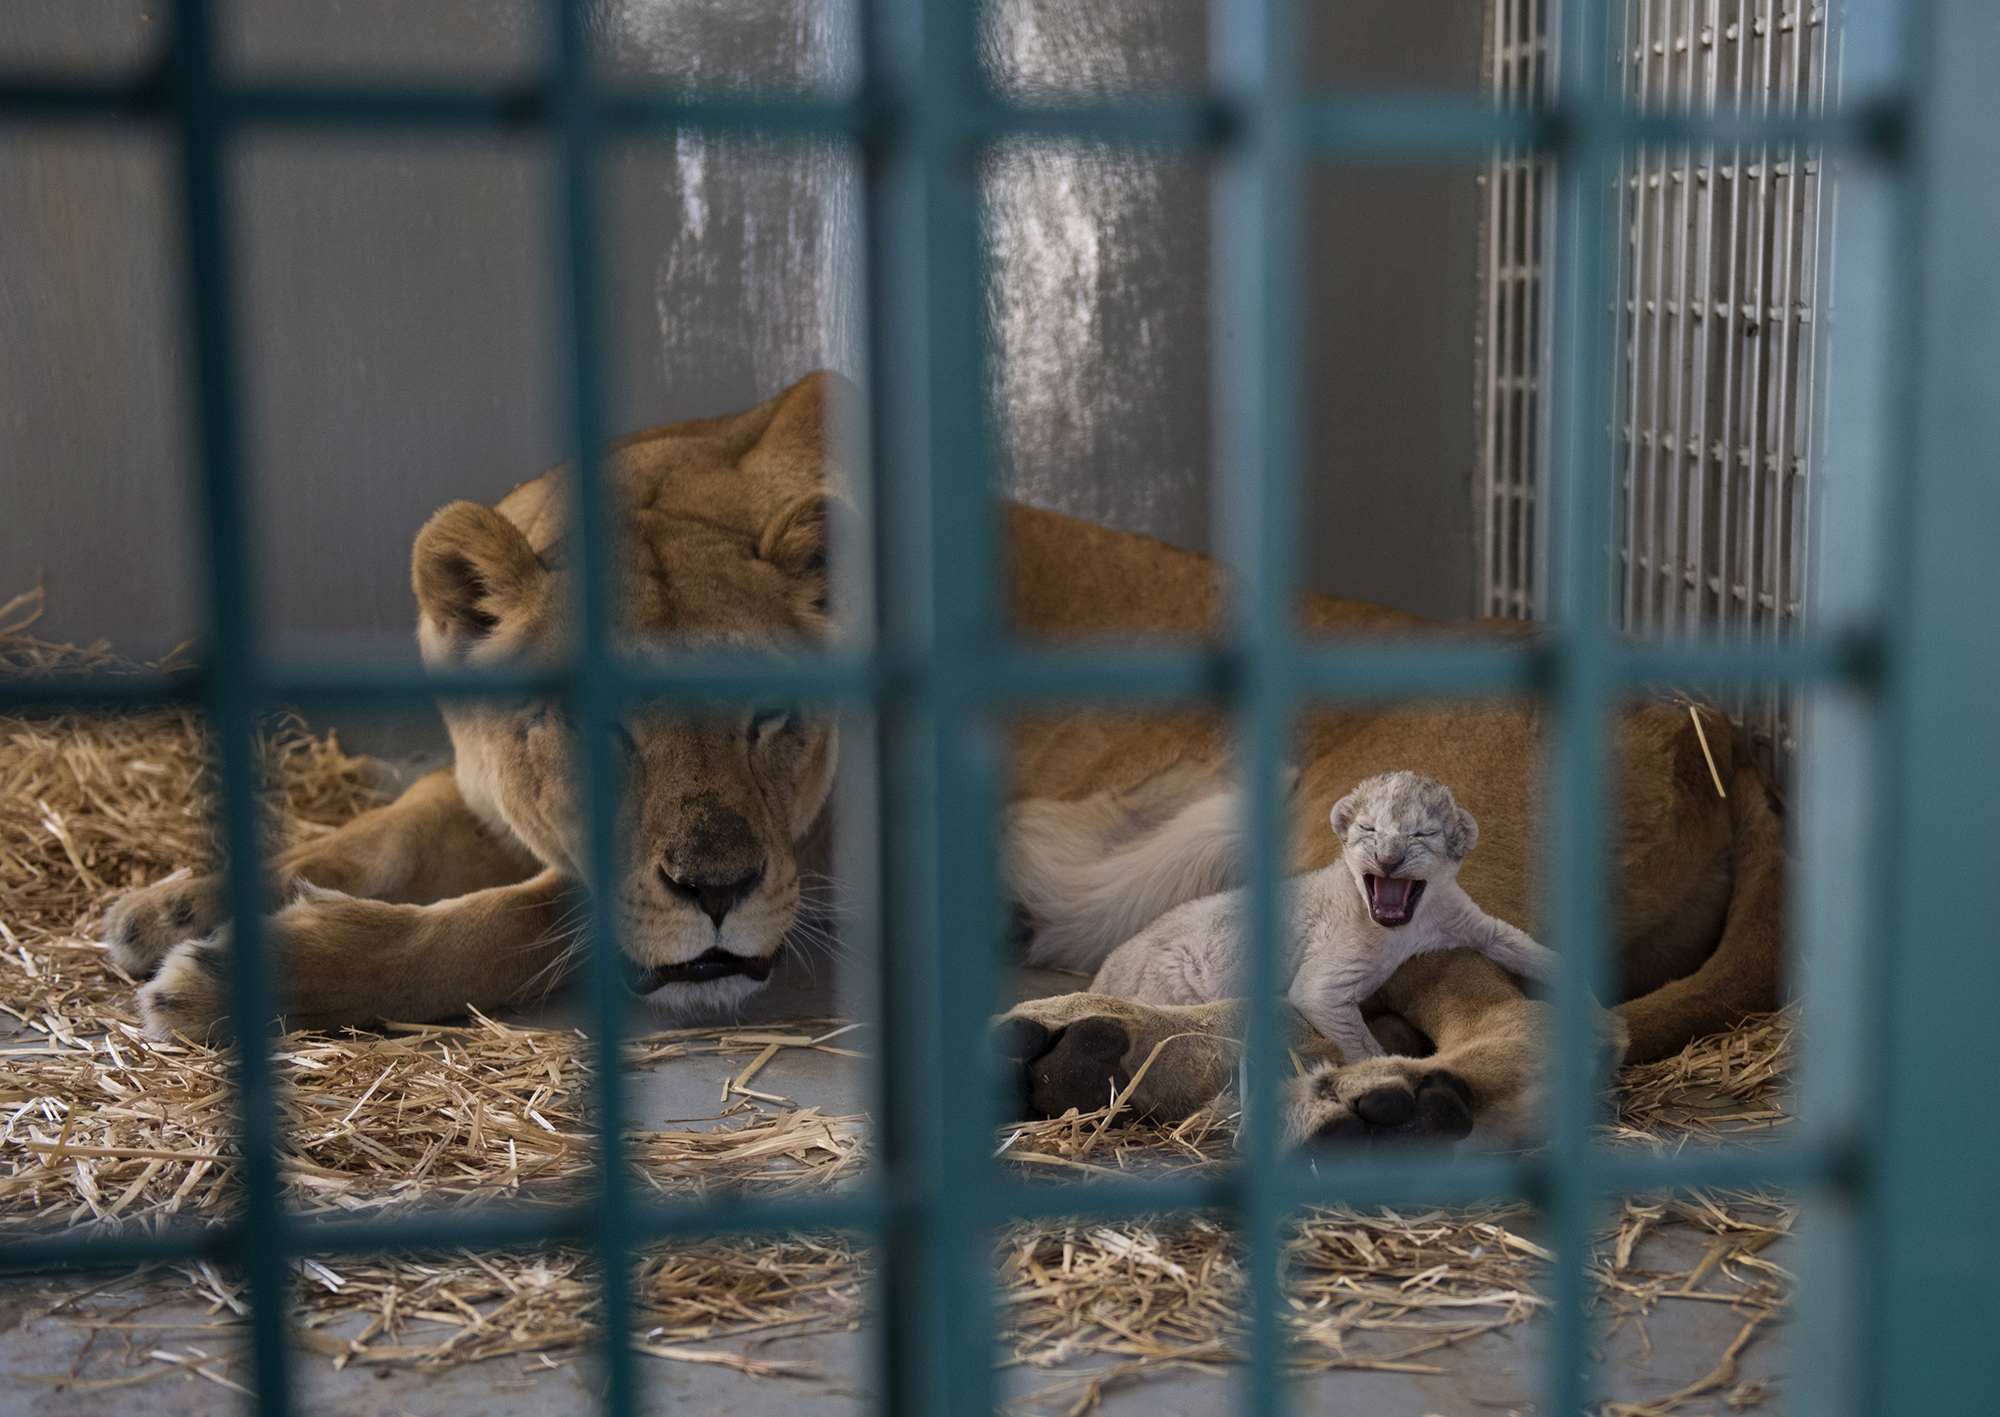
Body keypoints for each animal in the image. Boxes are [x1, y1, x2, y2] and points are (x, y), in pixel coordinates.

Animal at [101, 371, 1786, 1147]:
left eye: (773, 721)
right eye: (595, 729)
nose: (718, 887)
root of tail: (1708, 724)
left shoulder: (823, 884)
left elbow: (512, 922)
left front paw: (246, 971)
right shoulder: (490, 798)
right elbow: (387, 838)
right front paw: (173, 899)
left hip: (1372, 858)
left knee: (1546, 1039)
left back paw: (1378, 1113)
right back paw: (1082, 1055)